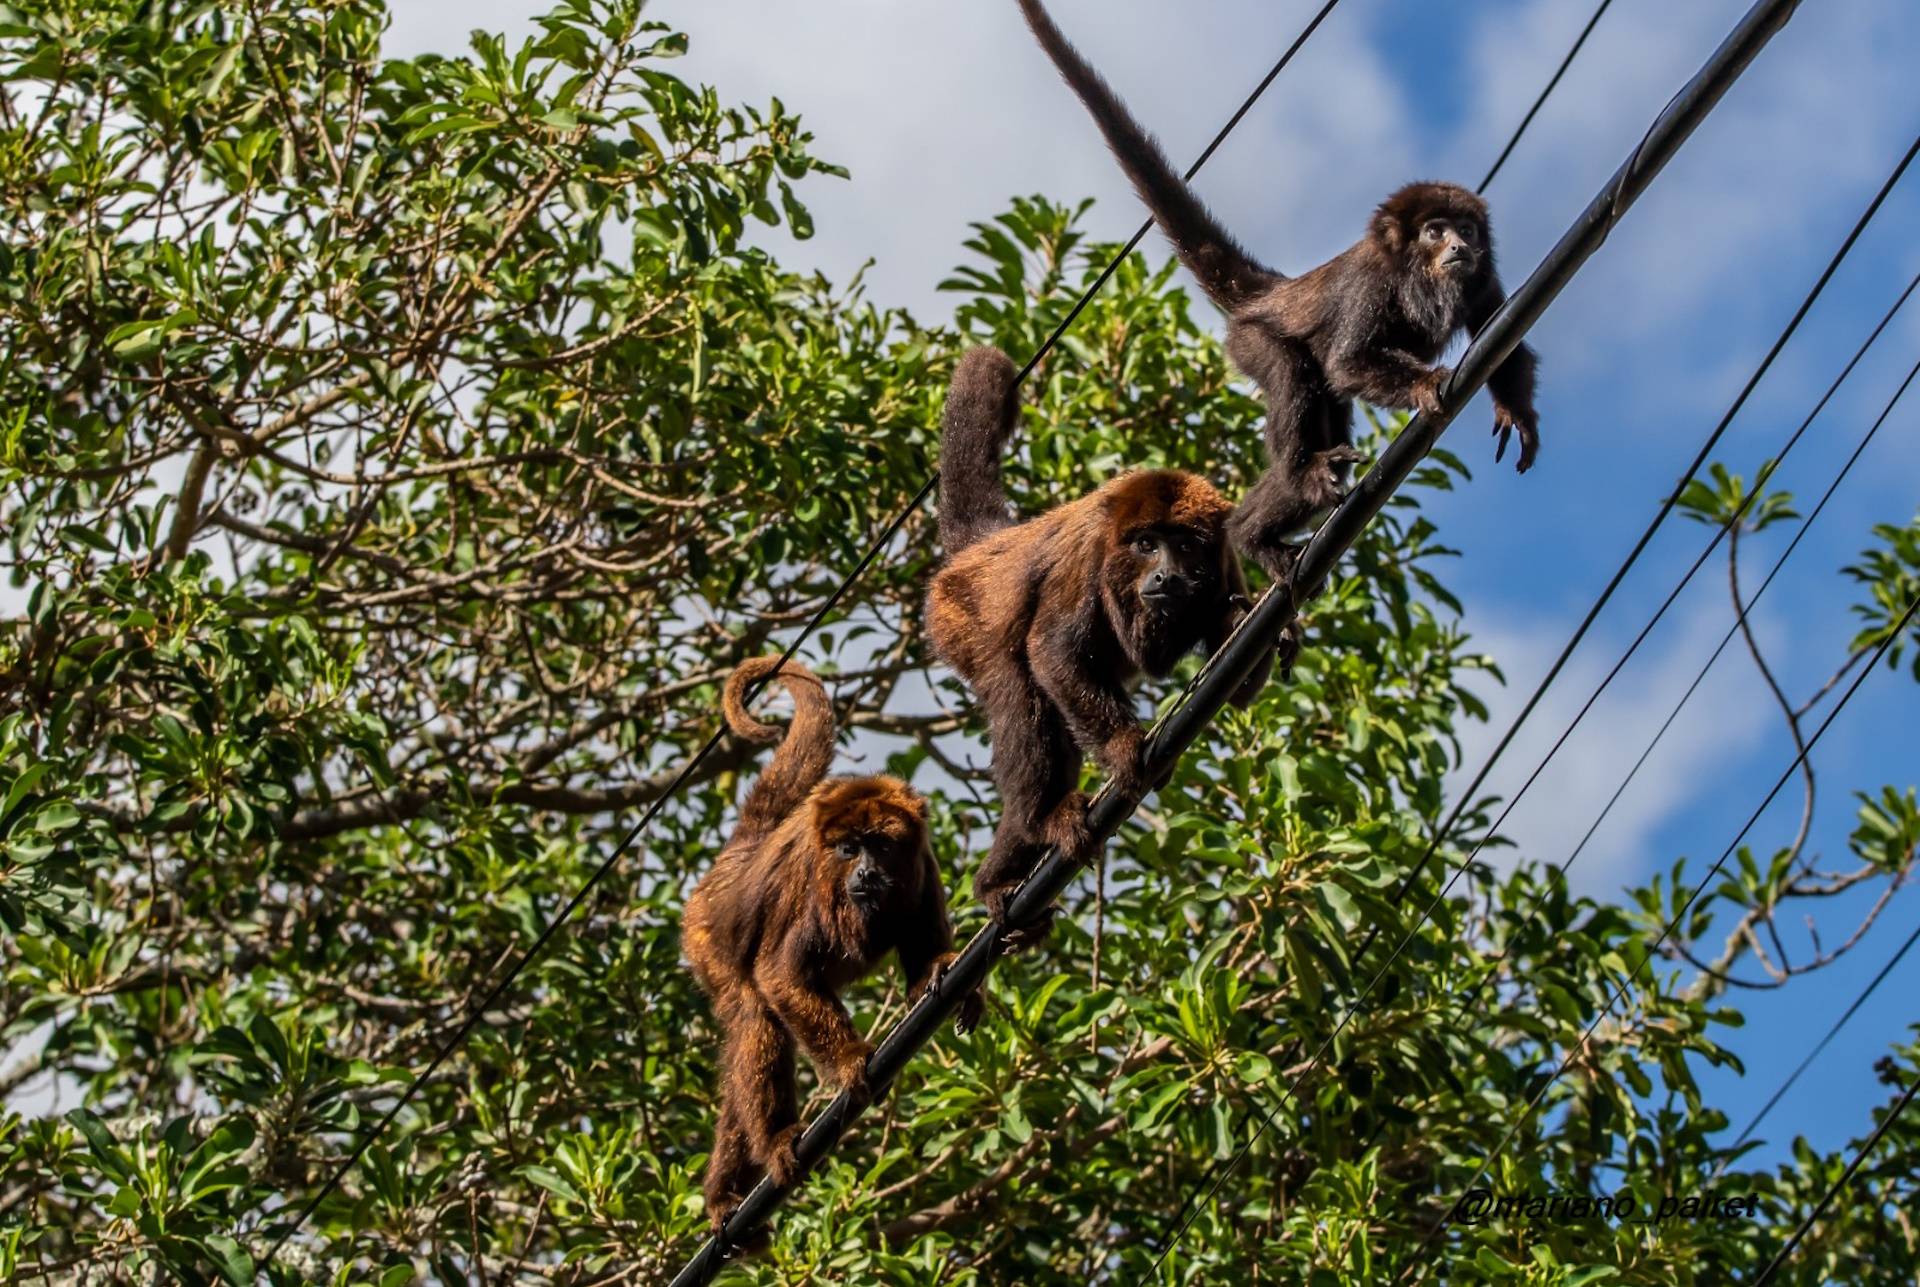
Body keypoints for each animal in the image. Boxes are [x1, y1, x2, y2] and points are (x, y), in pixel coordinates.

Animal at [679, 660, 975, 1244]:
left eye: (880, 844)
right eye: (847, 848)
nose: (864, 873)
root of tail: (737, 863)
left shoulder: (923, 868)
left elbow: (922, 963)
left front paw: (943, 971)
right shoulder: (811, 896)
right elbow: (781, 977)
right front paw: (851, 1061)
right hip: (707, 941)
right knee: (755, 1016)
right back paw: (765, 1152)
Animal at [925, 347, 1267, 941]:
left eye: (1184, 546)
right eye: (1146, 545)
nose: (1165, 576)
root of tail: (986, 548)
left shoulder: (1226, 558)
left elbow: (1239, 680)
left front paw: (1266, 628)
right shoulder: (1086, 560)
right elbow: (1052, 652)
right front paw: (1125, 750)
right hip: (959, 621)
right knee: (1021, 699)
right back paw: (1027, 837)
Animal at [1021, 0, 1543, 580]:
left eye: (1466, 230)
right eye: (1434, 230)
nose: (1457, 246)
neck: (1417, 276)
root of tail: (1273, 291)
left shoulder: (1480, 277)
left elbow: (1505, 342)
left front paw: (1517, 412)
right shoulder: (1372, 282)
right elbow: (1350, 362)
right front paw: (1428, 383)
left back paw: (1257, 529)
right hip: (1249, 338)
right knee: (1294, 376)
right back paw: (1285, 493)